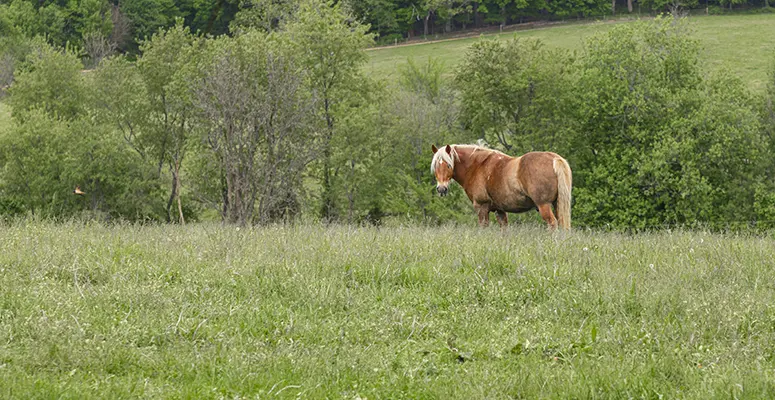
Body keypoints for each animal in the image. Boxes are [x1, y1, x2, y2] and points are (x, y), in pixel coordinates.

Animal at [431, 144, 572, 230]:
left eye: (448, 165)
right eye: (436, 165)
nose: (441, 189)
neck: (477, 166)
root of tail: (554, 159)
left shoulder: (481, 207)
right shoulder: (500, 210)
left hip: (544, 205)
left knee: (552, 223)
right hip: (557, 204)